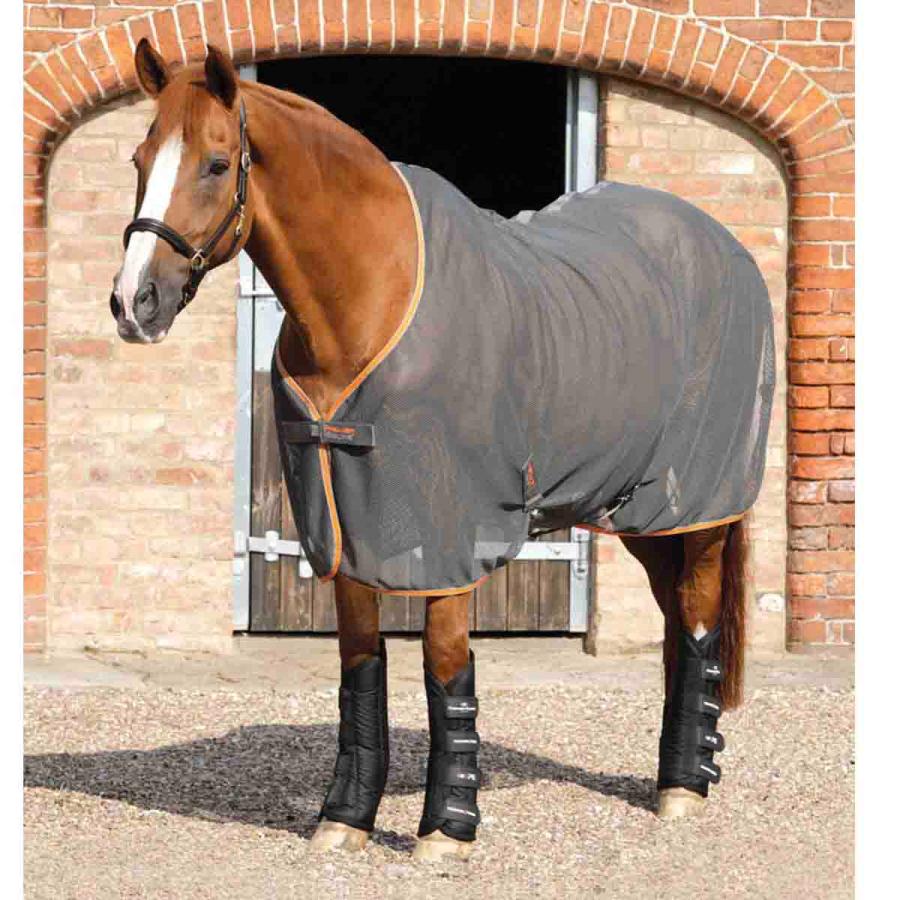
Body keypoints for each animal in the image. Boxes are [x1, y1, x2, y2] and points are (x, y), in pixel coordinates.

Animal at [110, 41, 772, 861]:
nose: (133, 303)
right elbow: (361, 665)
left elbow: (446, 663)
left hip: (699, 506)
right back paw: (685, 771)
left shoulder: (453, 528)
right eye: (139, 158)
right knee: (678, 621)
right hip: (640, 511)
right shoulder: (344, 521)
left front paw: (446, 828)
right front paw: (344, 819)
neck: (369, 297)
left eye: (214, 162)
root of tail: (723, 245)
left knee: (700, 614)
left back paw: (682, 788)